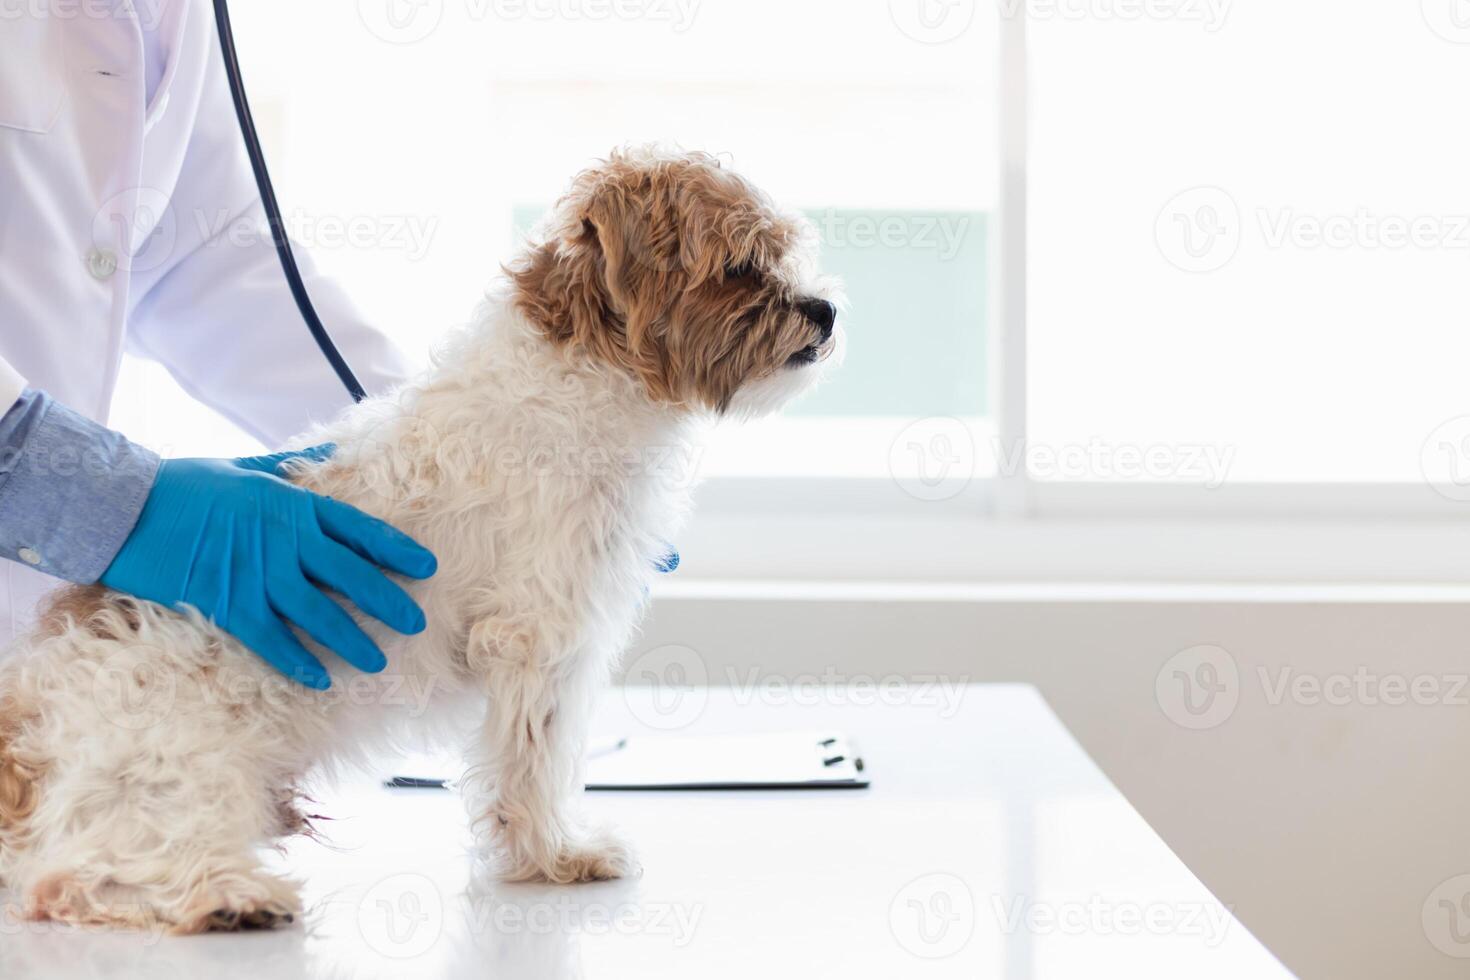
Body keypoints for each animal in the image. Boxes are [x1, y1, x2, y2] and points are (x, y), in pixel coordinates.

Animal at [0, 147, 840, 934]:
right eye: (741, 264)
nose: (826, 309)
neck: (583, 375)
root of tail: (30, 704)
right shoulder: (538, 639)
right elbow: (533, 764)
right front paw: (555, 854)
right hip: (183, 771)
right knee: (75, 875)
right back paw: (228, 897)